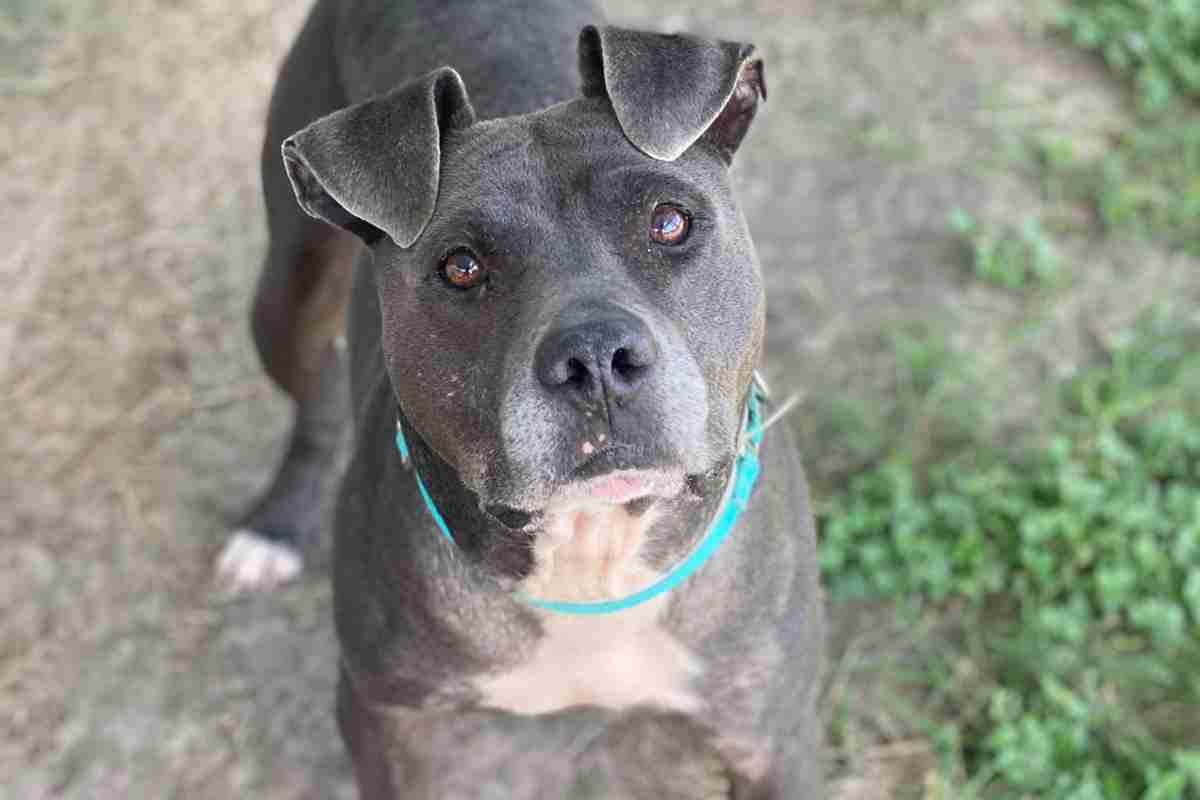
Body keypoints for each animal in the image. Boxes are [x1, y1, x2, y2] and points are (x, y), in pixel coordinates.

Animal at [215, 0, 824, 796]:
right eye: (461, 267)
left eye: (670, 222)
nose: (595, 357)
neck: (593, 557)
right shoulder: (390, 724)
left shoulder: (770, 737)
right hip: (284, 295)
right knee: (313, 397)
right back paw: (277, 527)